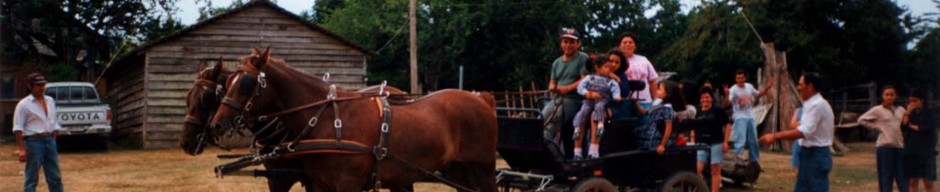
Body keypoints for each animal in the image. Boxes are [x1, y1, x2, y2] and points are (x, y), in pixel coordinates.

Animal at [207, 48, 500, 192]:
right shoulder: (320, 185)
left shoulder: (346, 186)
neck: (326, 120)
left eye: (245, 83)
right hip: (460, 171)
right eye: (227, 83)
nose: (216, 125)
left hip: (483, 170)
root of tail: (482, 98)